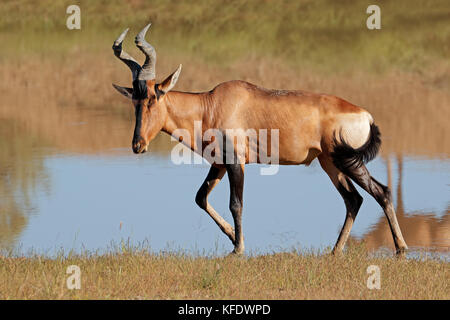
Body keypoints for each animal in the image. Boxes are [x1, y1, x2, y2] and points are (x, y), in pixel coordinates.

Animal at [111, 23, 408, 256]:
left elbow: (236, 204)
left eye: (153, 97)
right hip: (330, 162)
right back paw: (335, 251)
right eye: (135, 100)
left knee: (380, 192)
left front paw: (238, 249)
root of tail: (365, 115)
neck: (211, 104)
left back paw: (401, 248)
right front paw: (233, 237)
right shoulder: (219, 163)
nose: (137, 145)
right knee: (353, 199)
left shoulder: (236, 163)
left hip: (348, 160)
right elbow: (200, 198)